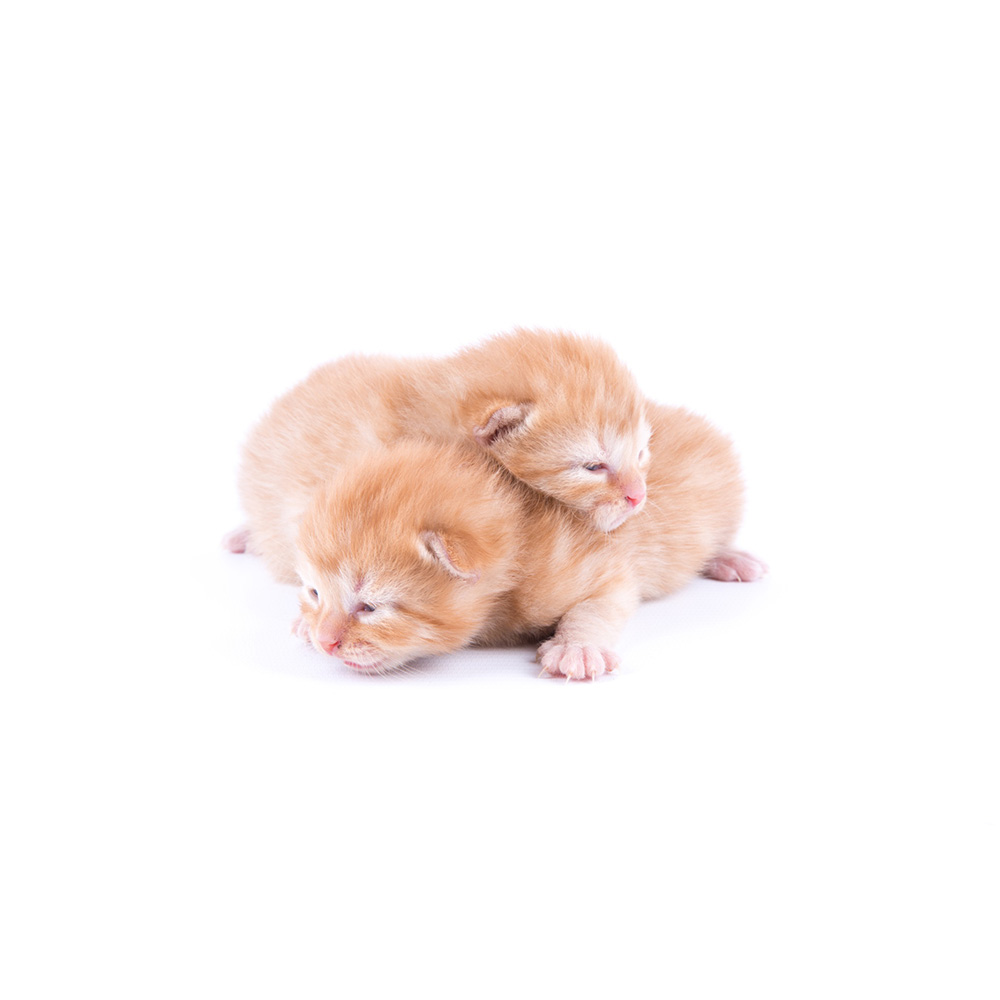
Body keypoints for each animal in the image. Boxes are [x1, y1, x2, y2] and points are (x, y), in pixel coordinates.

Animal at [288, 401, 765, 680]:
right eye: (314, 592)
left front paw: (578, 648)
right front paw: (303, 624)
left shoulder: (606, 568)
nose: (326, 643)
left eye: (370, 607)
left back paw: (732, 559)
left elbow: (600, 605)